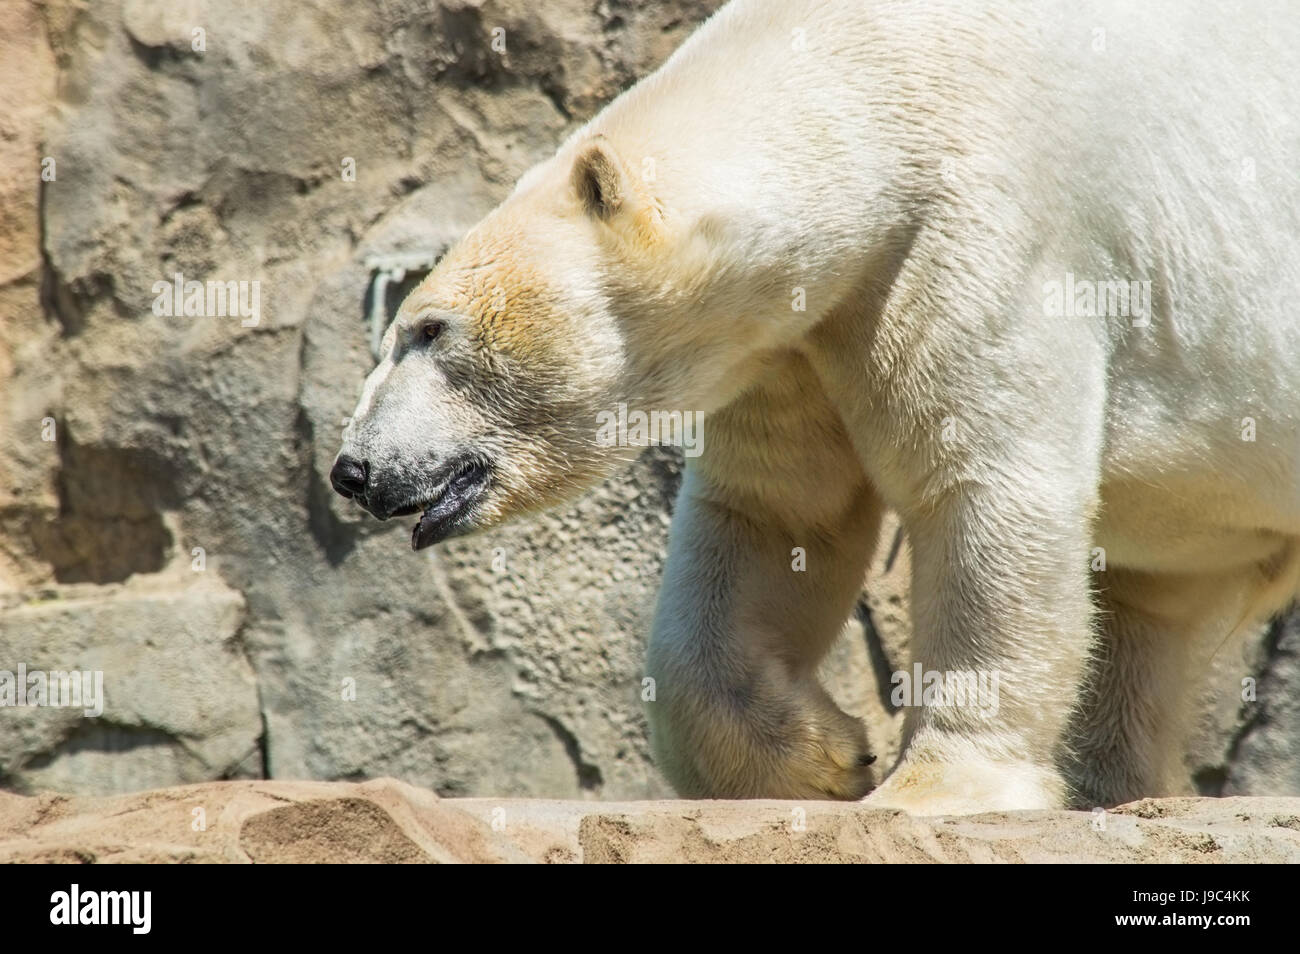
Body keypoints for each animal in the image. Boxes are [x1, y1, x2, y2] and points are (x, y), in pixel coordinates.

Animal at [332, 0, 1300, 816]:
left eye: (428, 328)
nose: (353, 469)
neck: (880, 85)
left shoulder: (976, 233)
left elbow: (983, 487)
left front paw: (932, 790)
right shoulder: (791, 338)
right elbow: (779, 515)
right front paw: (819, 760)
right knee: (1158, 593)